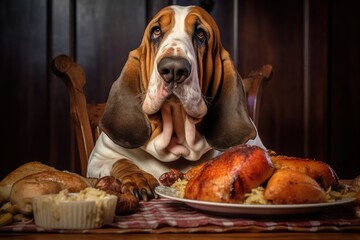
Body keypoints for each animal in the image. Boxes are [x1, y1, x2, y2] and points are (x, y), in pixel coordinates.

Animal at [88, 5, 264, 201]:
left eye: (201, 34)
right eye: (156, 31)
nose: (173, 68)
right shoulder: (98, 157)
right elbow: (121, 161)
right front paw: (138, 177)